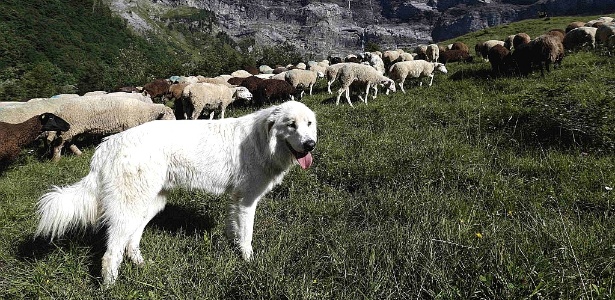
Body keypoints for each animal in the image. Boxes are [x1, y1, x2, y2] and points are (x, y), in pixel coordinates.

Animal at [35, 100, 318, 286]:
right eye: (291, 125)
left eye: (309, 124)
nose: (310, 144)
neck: (262, 139)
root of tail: (107, 145)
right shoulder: (247, 201)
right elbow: (247, 235)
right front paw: (248, 261)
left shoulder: (236, 200)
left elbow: (234, 229)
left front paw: (234, 247)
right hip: (130, 208)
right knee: (111, 254)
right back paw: (110, 287)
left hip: (149, 204)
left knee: (131, 242)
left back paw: (141, 264)